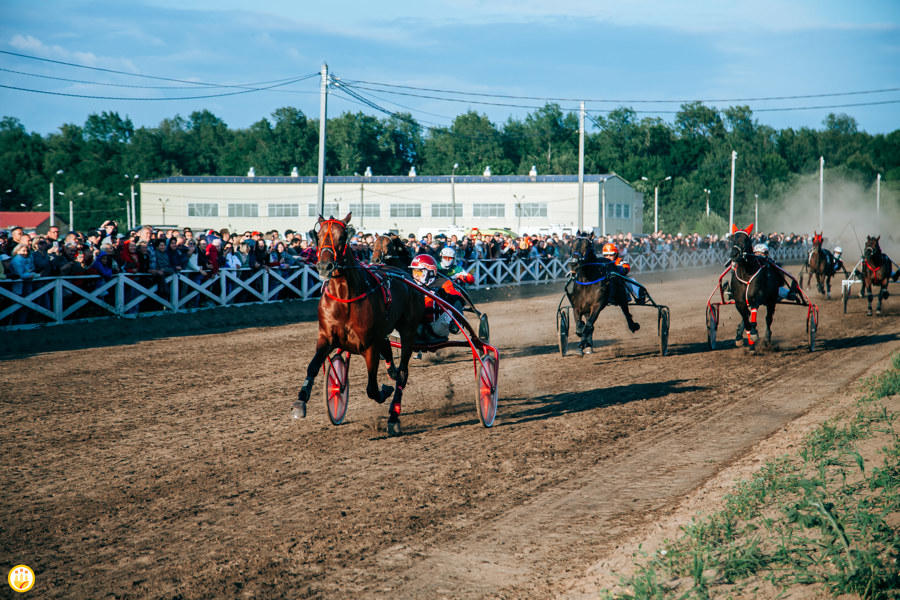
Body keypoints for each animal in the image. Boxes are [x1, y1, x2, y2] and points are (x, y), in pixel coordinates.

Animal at [292, 216, 426, 436]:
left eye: (342, 236)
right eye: (318, 234)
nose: (325, 266)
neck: (344, 298)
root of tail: (404, 275)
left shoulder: (370, 345)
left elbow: (372, 388)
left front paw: (385, 392)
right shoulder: (326, 337)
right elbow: (313, 366)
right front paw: (300, 403)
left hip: (408, 331)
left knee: (403, 373)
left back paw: (394, 415)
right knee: (389, 351)